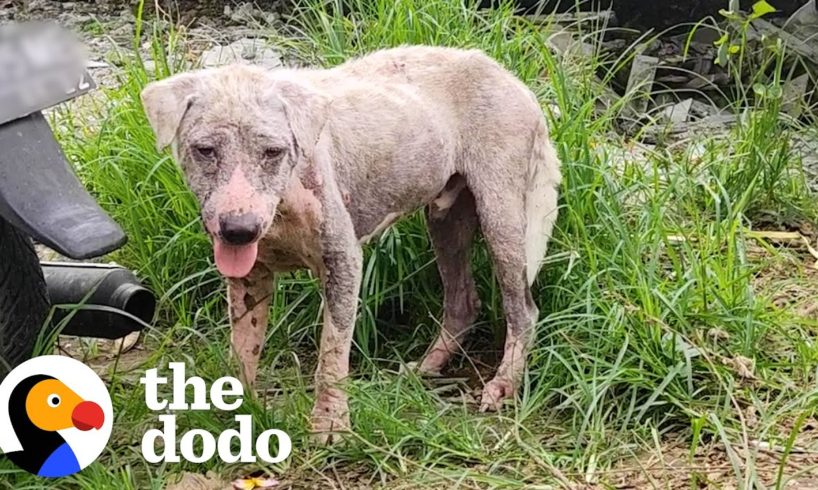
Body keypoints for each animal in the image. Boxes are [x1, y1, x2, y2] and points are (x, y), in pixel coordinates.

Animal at [140, 46, 560, 442]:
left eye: (273, 152)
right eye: (205, 150)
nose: (238, 230)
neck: (285, 202)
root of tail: (513, 80)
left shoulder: (342, 261)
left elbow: (332, 352)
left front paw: (330, 424)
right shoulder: (249, 277)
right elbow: (243, 348)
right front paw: (234, 413)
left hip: (502, 213)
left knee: (522, 309)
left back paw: (503, 384)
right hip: (446, 217)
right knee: (463, 303)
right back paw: (426, 367)